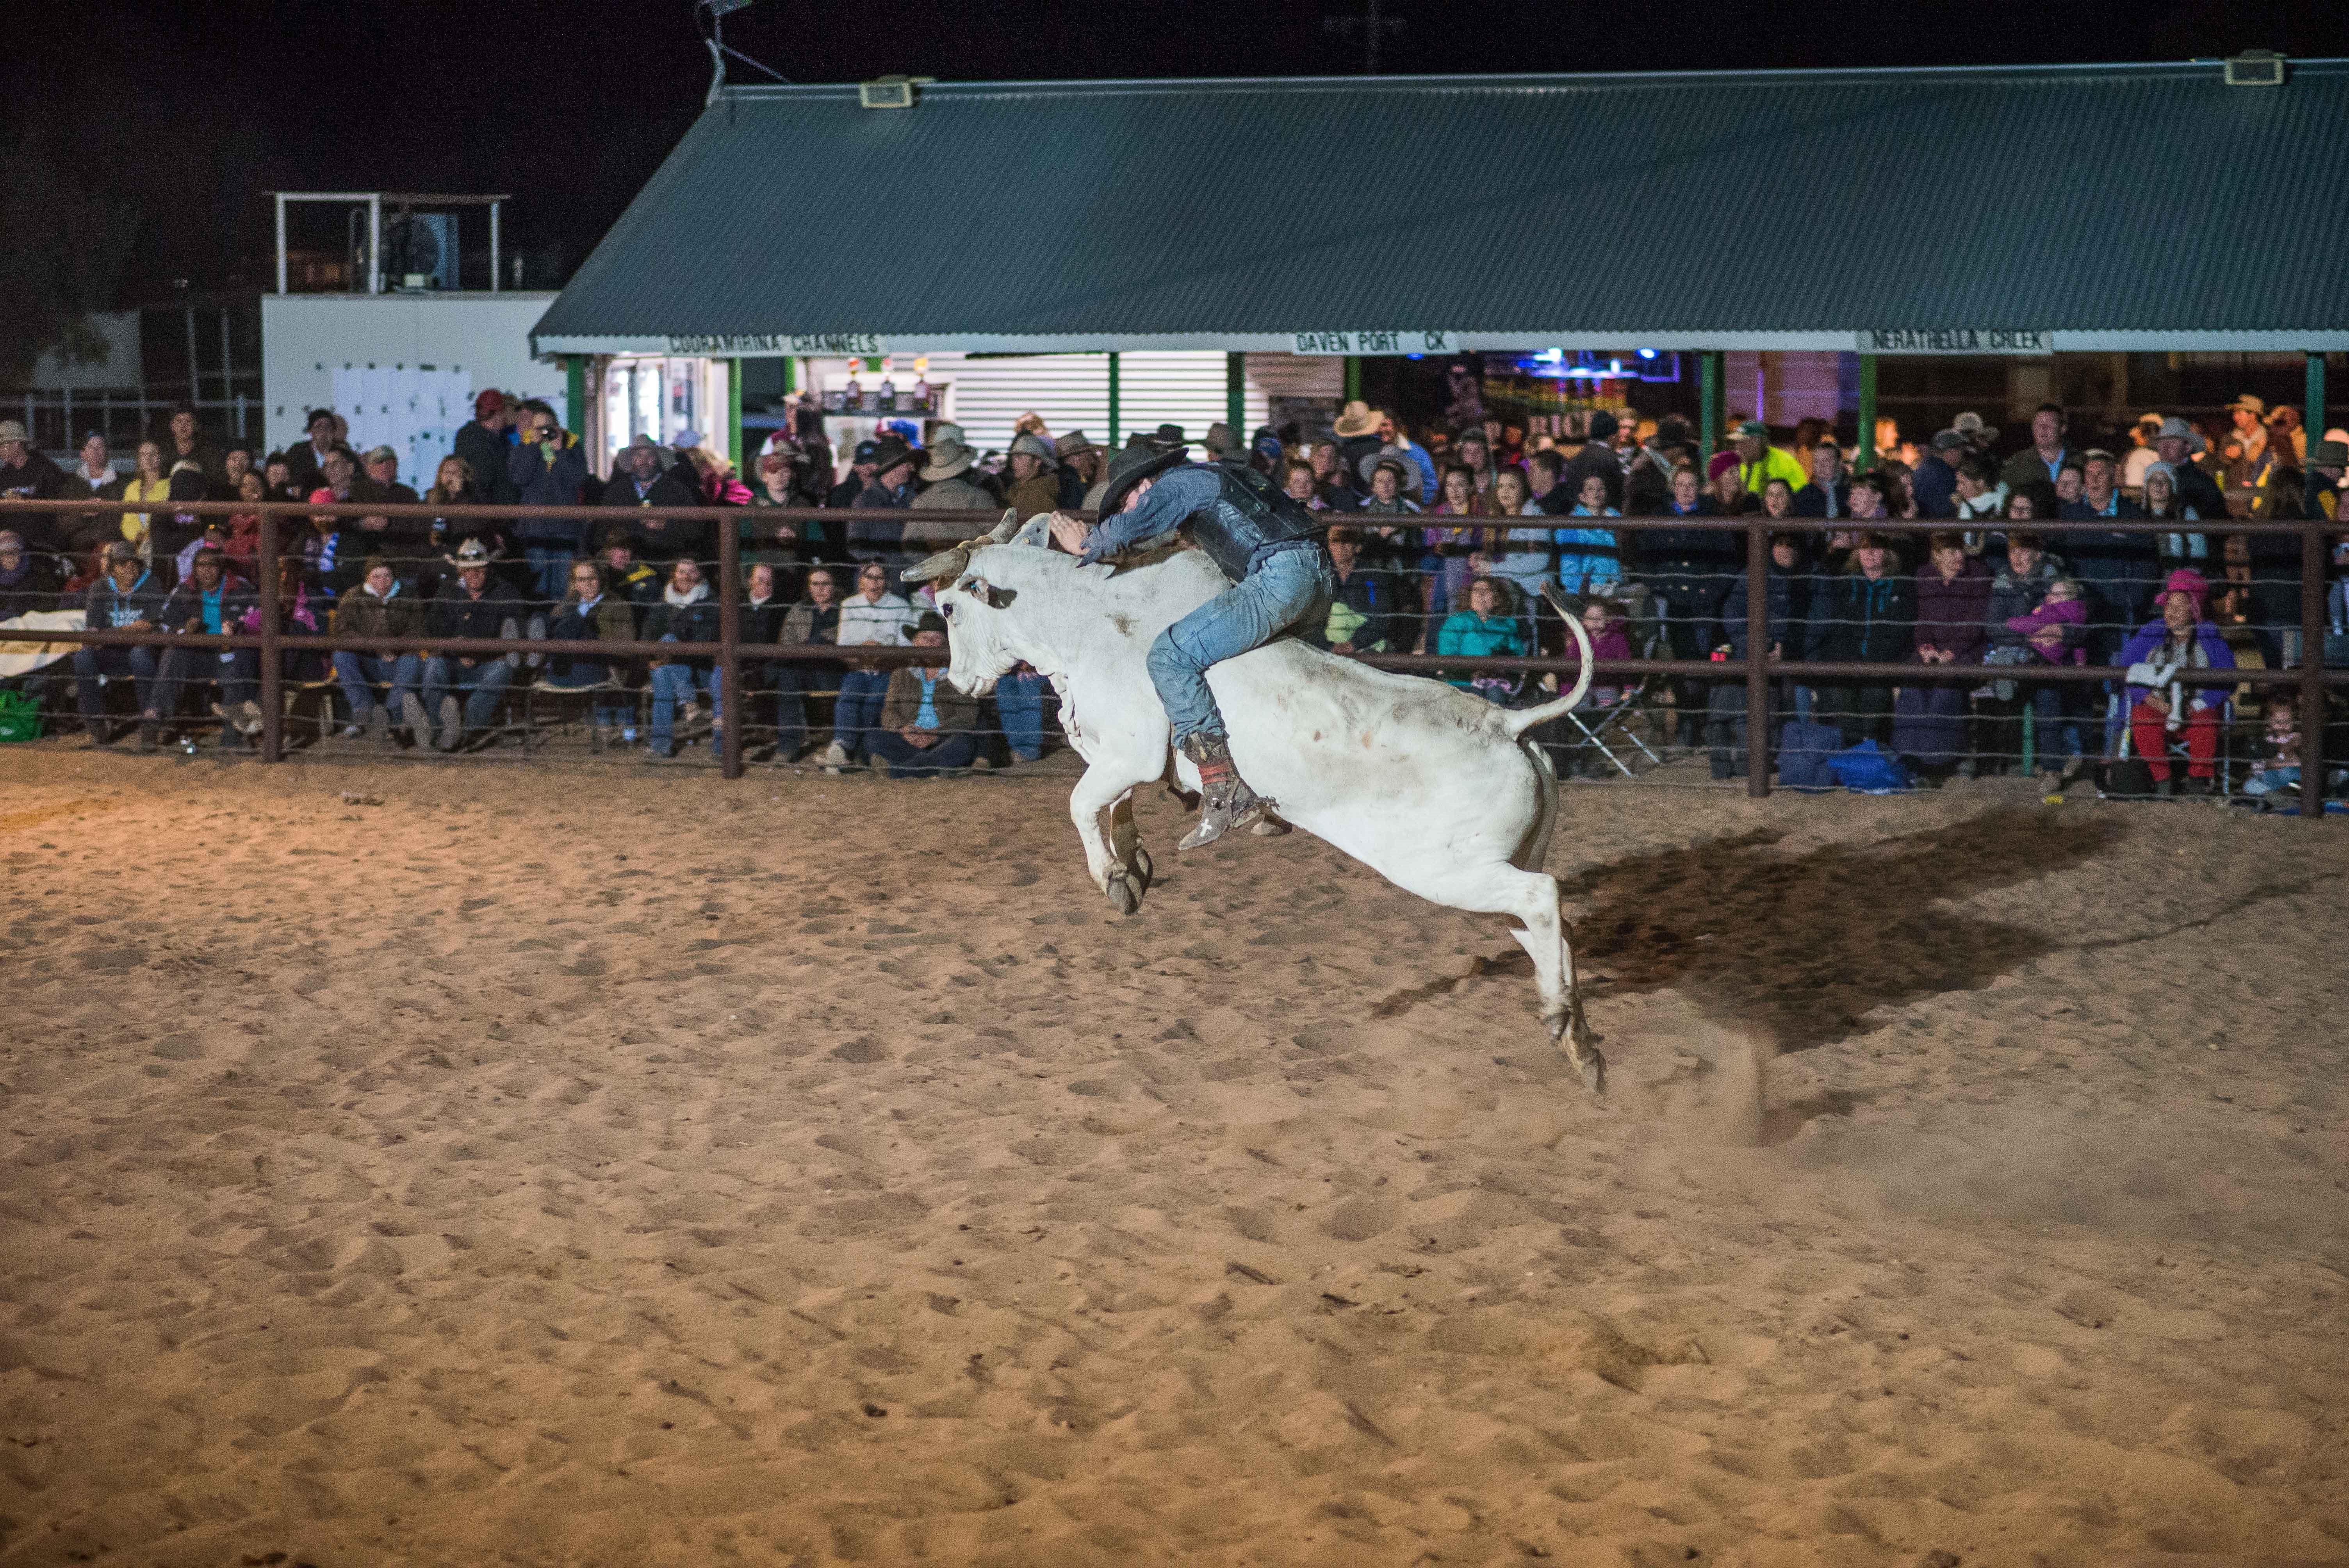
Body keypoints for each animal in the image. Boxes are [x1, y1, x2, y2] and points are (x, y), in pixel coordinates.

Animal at [907, 511, 1606, 1089]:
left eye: (948, 608)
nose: (957, 682)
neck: (1088, 619)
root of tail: (1507, 724)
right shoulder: (1130, 758)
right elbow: (1118, 803)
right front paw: (1136, 860)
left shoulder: (1127, 751)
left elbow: (1083, 805)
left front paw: (1116, 879)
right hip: (1491, 865)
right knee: (1545, 926)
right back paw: (1581, 1043)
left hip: (1442, 870)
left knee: (1542, 898)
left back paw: (1562, 1017)